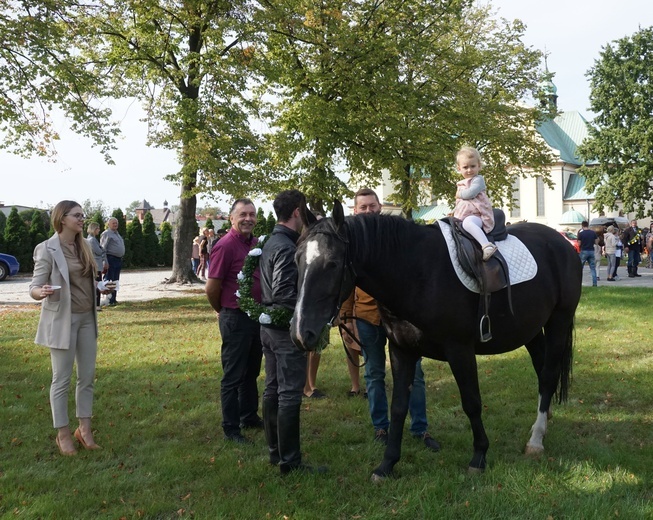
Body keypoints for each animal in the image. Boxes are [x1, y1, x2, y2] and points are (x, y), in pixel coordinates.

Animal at [290, 201, 580, 482]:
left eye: (333, 263)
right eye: (297, 259)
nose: (300, 332)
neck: (417, 272)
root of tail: (563, 243)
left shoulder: (460, 350)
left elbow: (471, 402)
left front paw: (479, 456)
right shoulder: (400, 350)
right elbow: (398, 407)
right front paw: (387, 464)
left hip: (559, 321)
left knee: (548, 375)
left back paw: (536, 440)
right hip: (531, 330)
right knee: (542, 371)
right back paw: (543, 422)